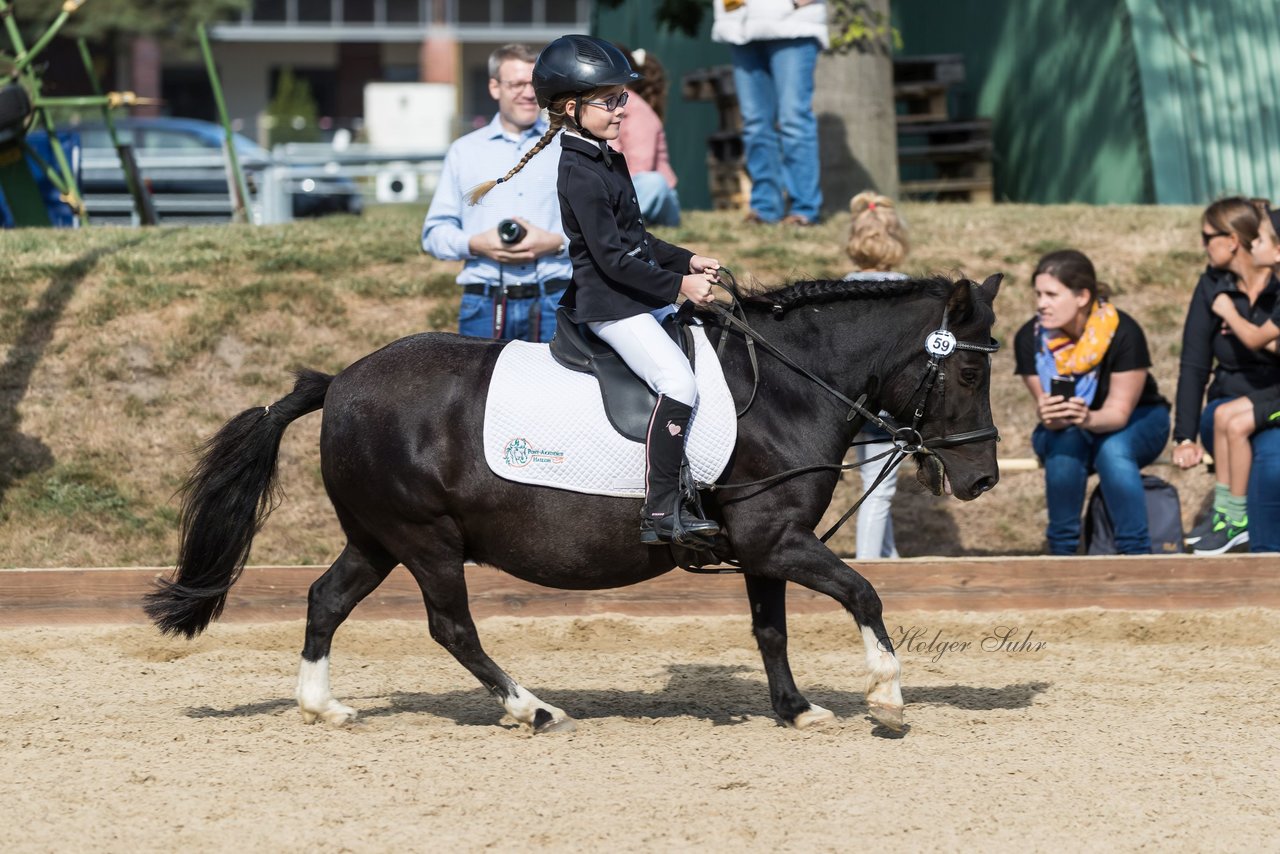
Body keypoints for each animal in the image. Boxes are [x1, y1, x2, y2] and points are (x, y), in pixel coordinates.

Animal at [149, 273, 1003, 737]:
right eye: (967, 375)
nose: (983, 480)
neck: (787, 387)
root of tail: (341, 382)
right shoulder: (776, 538)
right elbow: (863, 591)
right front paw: (887, 697)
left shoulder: (766, 542)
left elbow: (771, 630)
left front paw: (797, 710)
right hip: (426, 541)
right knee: (451, 627)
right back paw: (531, 708)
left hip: (378, 538)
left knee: (326, 600)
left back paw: (323, 707)